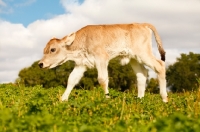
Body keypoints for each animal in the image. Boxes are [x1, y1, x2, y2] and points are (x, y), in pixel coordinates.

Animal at [38, 23, 168, 102]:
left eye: (52, 49)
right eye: (44, 50)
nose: (40, 64)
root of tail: (141, 23)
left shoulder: (101, 58)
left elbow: (102, 79)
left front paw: (107, 98)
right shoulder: (81, 64)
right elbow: (71, 80)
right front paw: (63, 100)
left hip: (143, 54)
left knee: (160, 66)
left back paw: (164, 99)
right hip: (134, 58)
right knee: (142, 74)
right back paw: (140, 99)